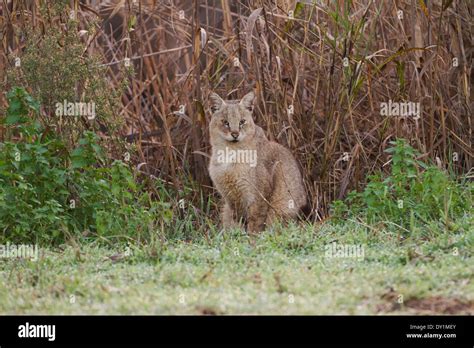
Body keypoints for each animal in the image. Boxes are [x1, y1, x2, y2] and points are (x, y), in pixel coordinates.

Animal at [208, 92, 306, 234]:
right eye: (225, 122)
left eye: (242, 122)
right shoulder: (231, 198)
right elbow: (239, 221)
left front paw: (252, 238)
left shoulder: (257, 196)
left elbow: (255, 223)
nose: (235, 134)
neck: (229, 154)